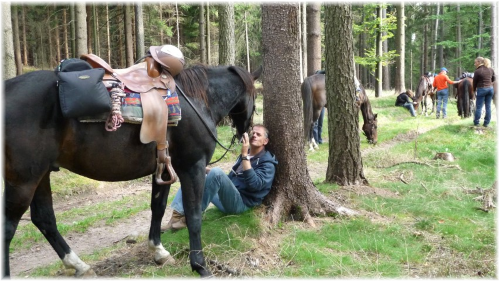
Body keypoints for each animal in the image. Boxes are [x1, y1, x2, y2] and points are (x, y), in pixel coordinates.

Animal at [1, 64, 262, 278]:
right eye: (255, 96)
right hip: (22, 181)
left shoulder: (163, 169)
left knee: (44, 219)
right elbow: (194, 215)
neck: (197, 100)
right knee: (7, 229)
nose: (247, 132)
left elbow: (158, 207)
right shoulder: (193, 166)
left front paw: (158, 251)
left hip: (41, 175)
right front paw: (200, 266)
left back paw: (80, 266)